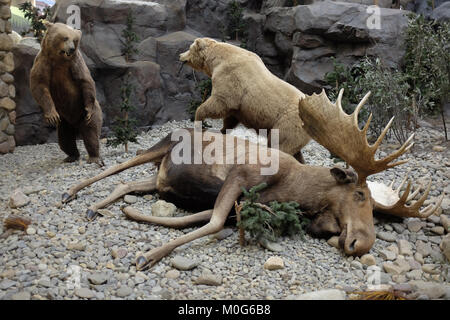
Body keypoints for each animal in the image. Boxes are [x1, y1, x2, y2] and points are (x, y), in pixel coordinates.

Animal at [30, 21, 103, 165]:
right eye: (65, 37)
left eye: (75, 40)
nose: (72, 49)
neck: (59, 60)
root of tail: (76, 125)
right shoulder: (43, 63)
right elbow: (39, 85)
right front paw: (51, 115)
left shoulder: (75, 64)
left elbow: (85, 81)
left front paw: (88, 109)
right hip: (65, 122)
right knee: (65, 140)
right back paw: (71, 156)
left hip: (87, 115)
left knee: (91, 134)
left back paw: (93, 157)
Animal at [60, 89, 442, 270]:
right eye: (360, 195)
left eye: (377, 209)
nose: (362, 244)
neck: (296, 191)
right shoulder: (241, 176)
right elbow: (213, 223)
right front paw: (147, 255)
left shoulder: (239, 202)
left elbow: (205, 218)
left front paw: (133, 217)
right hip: (158, 147)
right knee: (116, 168)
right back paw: (72, 192)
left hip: (159, 179)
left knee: (127, 184)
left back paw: (98, 207)